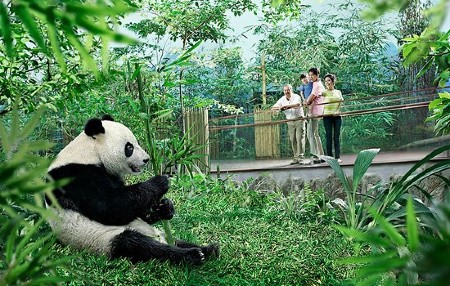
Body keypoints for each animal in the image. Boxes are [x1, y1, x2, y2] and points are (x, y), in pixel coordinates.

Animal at [46, 115, 220, 264]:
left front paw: (166, 207)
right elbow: (112, 207)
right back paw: (191, 255)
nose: (147, 159)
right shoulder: (75, 176)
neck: (90, 152)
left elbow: (137, 210)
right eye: (129, 147)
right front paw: (161, 181)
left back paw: (208, 249)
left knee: (176, 241)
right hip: (103, 239)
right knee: (139, 246)